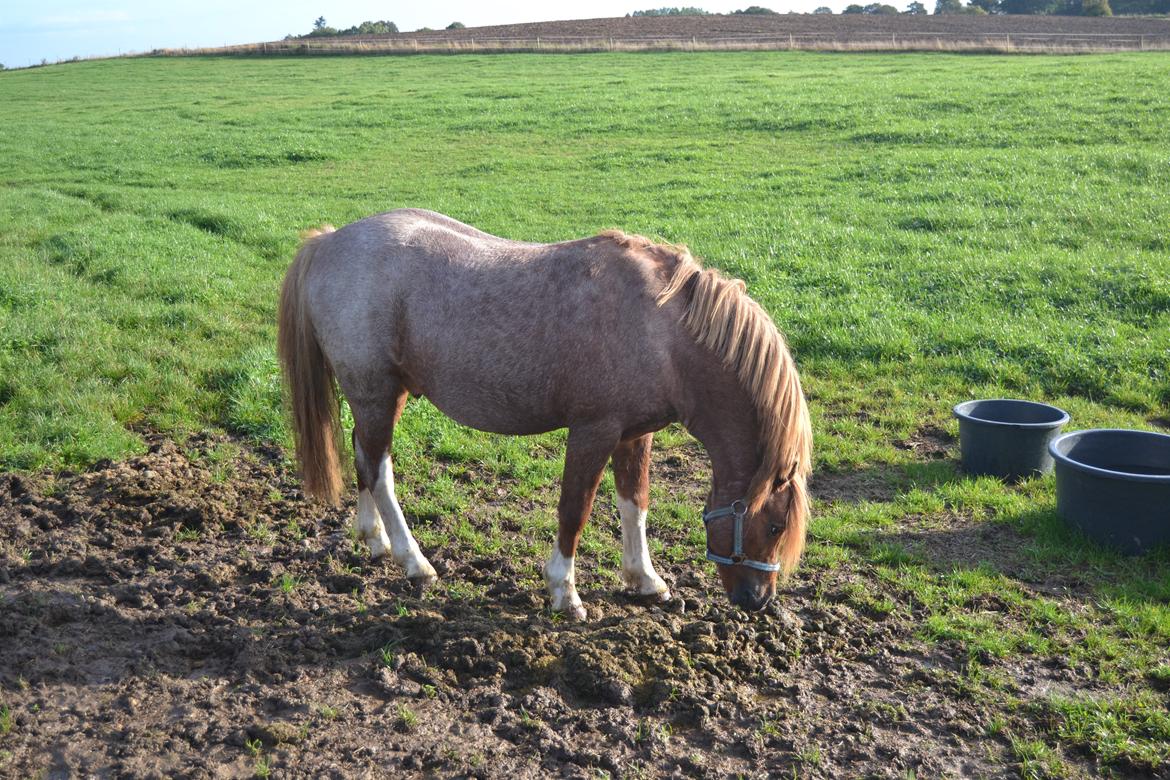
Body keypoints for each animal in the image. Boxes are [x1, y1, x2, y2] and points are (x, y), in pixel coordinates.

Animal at [280, 209, 814, 622]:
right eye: (774, 526)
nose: (758, 601)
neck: (661, 330)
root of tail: (328, 242)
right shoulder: (593, 431)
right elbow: (574, 511)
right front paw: (565, 592)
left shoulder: (634, 435)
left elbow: (634, 505)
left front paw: (645, 579)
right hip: (377, 393)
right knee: (379, 470)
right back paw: (415, 563)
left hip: (382, 395)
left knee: (363, 457)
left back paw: (375, 541)